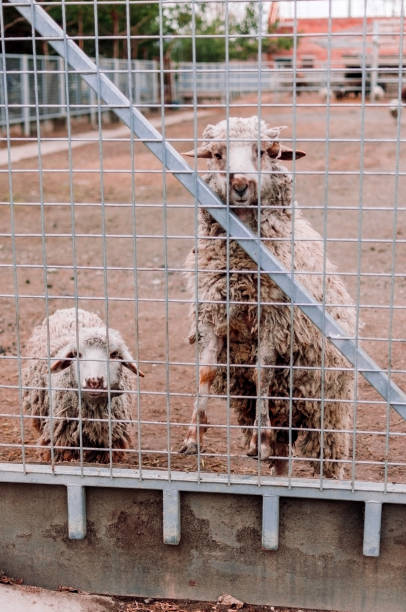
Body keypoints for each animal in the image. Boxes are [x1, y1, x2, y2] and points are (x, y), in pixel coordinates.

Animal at [181, 115, 356, 478]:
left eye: (263, 151)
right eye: (217, 154)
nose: (240, 184)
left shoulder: (275, 322)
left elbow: (262, 371)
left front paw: (258, 439)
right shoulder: (214, 316)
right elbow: (206, 371)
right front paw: (194, 434)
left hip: (327, 414)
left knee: (330, 461)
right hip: (285, 417)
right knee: (282, 460)